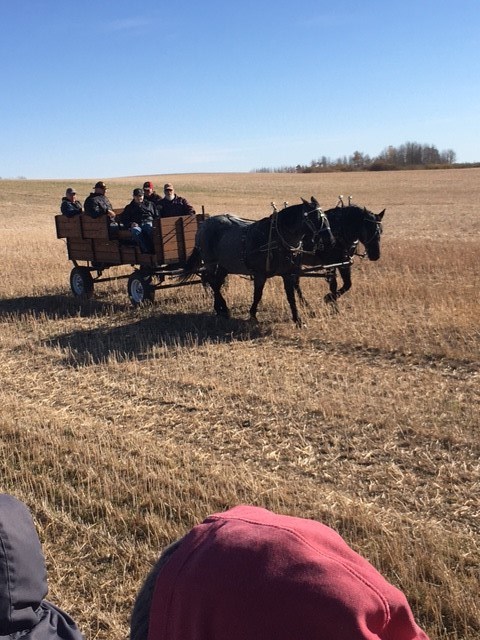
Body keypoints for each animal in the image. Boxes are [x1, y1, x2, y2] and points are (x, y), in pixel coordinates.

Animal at [180, 199, 334, 324]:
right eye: (315, 219)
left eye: (325, 217)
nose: (330, 240)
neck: (277, 238)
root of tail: (203, 225)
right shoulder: (260, 274)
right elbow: (258, 294)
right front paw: (253, 314)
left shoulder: (288, 273)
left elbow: (291, 295)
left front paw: (298, 319)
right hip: (210, 263)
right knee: (212, 283)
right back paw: (223, 308)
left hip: (223, 265)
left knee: (216, 284)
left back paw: (220, 309)